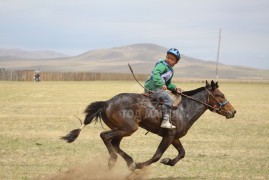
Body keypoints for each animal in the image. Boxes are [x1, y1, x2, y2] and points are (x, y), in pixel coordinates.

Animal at [60, 80, 234, 170]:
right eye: (220, 95)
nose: (233, 112)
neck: (184, 108)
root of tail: (107, 102)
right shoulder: (169, 136)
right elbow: (157, 155)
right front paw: (140, 165)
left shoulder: (174, 137)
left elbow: (182, 153)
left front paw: (168, 161)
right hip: (129, 128)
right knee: (105, 136)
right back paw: (115, 161)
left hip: (122, 130)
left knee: (114, 143)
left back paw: (128, 161)